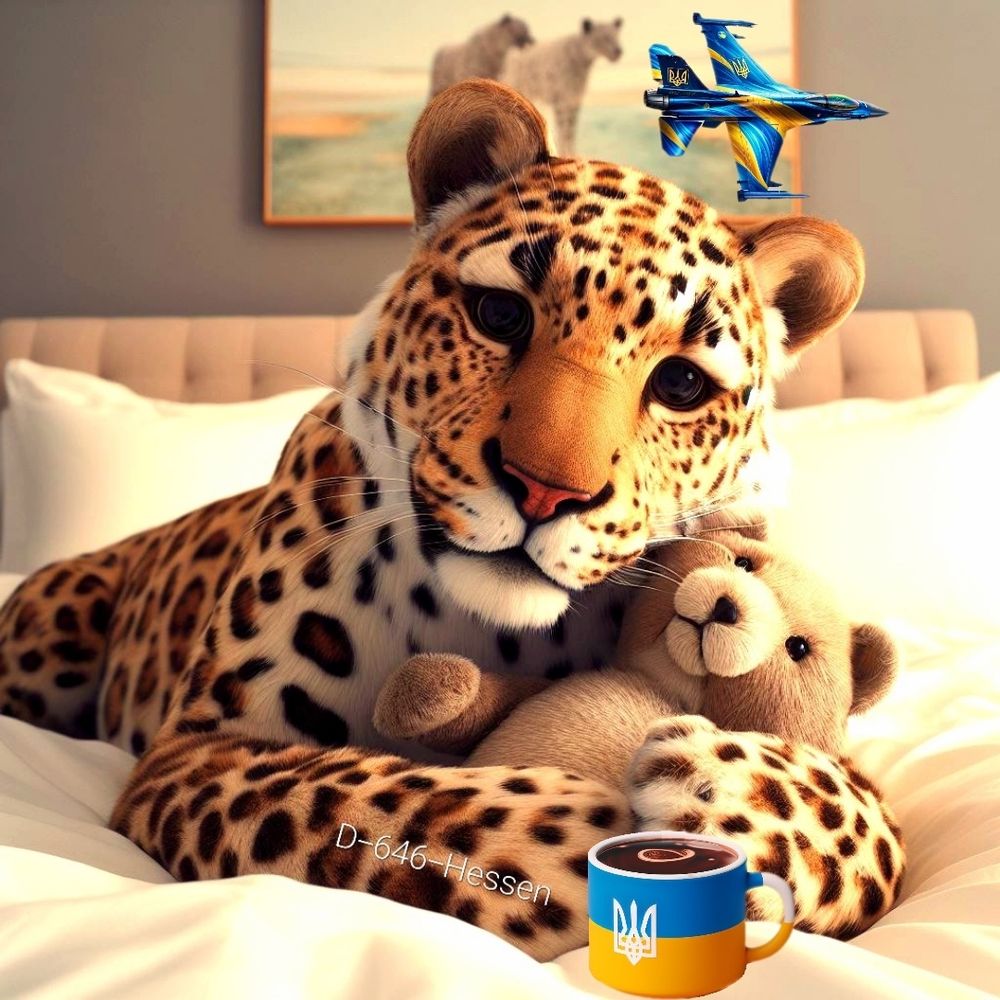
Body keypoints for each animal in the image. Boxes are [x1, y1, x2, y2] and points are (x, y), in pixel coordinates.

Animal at [0, 80, 901, 960]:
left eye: (680, 385)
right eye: (500, 315)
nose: (543, 491)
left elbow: (863, 819)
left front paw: (719, 784)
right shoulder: (196, 752)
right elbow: (360, 799)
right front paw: (580, 836)